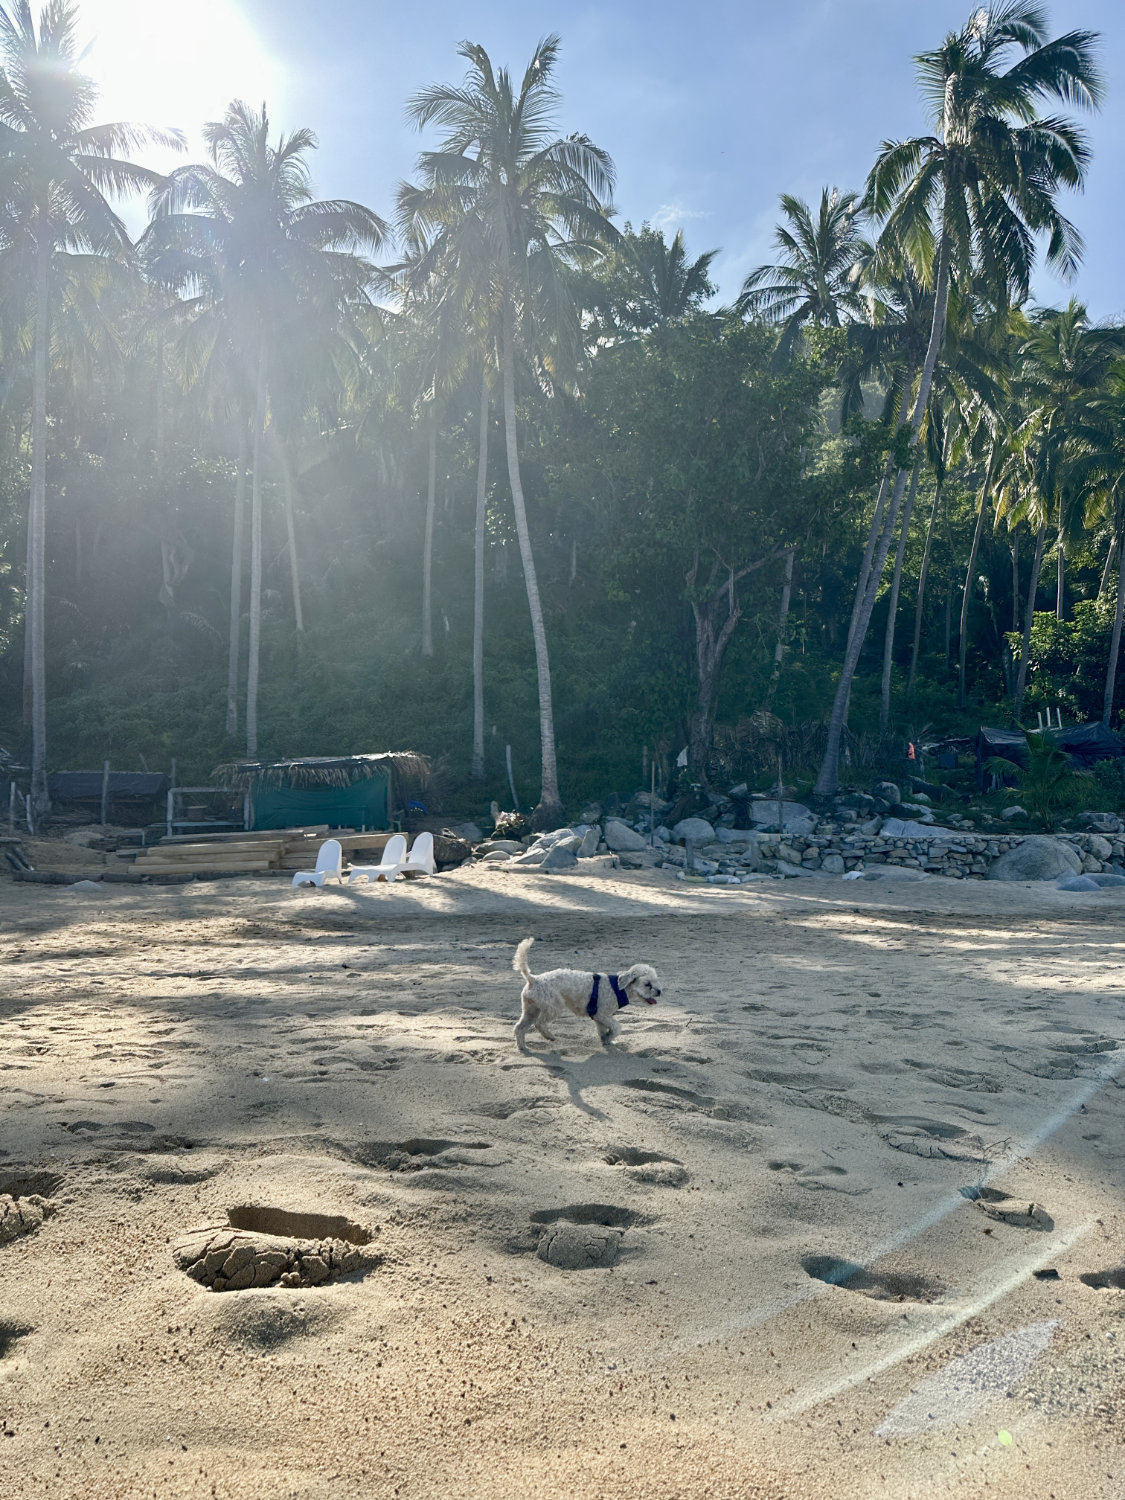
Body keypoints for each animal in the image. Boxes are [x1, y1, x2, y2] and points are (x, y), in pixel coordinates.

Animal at [513, 930, 660, 1050]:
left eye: (656, 980)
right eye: (647, 984)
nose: (659, 992)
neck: (617, 988)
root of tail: (533, 979)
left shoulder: (600, 1018)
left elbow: (604, 1030)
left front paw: (607, 1040)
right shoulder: (601, 1014)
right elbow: (617, 1027)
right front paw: (609, 1037)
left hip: (531, 1009)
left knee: (519, 1028)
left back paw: (523, 1047)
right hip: (553, 1007)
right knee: (539, 1023)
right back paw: (549, 1036)